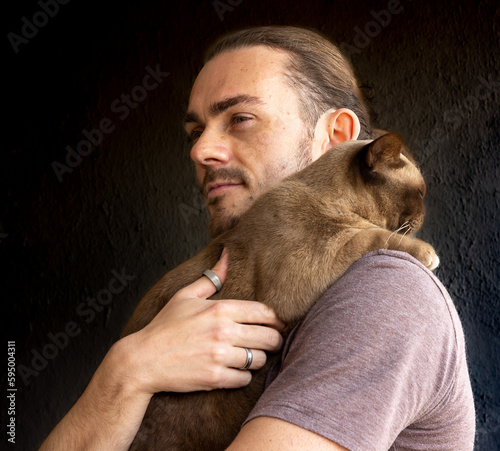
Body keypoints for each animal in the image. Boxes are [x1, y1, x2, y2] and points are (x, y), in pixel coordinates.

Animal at [121, 132, 438, 450]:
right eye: (421, 192)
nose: (426, 213)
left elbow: (370, 234)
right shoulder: (317, 261)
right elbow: (374, 237)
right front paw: (429, 254)